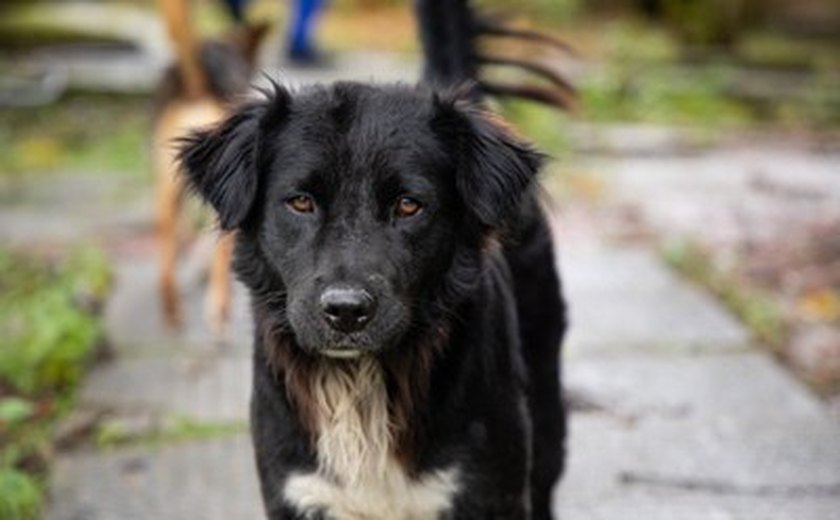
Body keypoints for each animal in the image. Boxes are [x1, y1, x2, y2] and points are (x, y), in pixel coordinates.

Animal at [180, 79, 568, 516]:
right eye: (300, 201)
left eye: (408, 205)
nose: (346, 311)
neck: (361, 380)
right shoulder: (294, 486)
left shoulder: (491, 488)